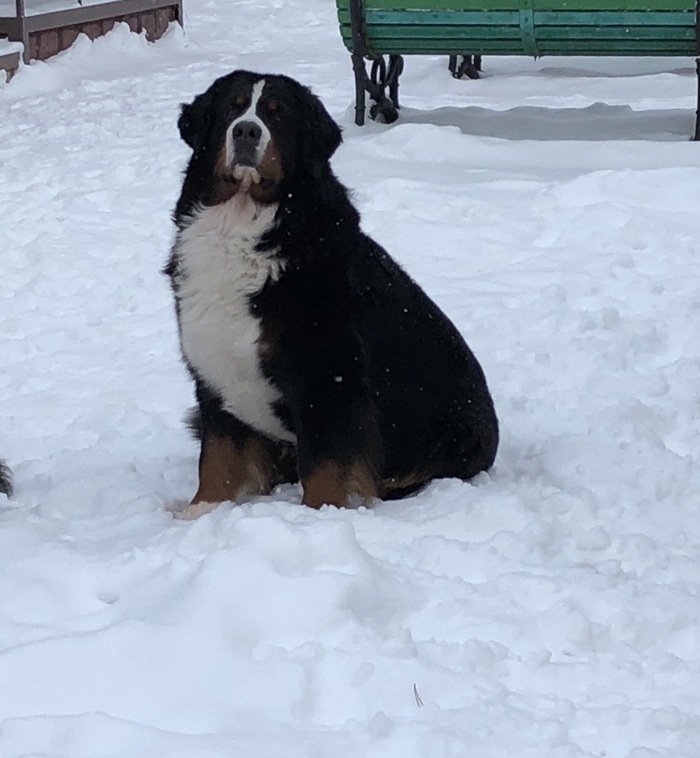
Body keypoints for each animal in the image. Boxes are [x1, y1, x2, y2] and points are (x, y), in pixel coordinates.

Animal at [164, 70, 498, 524]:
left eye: (277, 115)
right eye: (232, 108)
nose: (247, 131)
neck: (241, 222)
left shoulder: (328, 373)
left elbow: (325, 460)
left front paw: (318, 517)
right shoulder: (213, 370)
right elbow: (217, 453)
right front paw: (202, 511)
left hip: (454, 433)